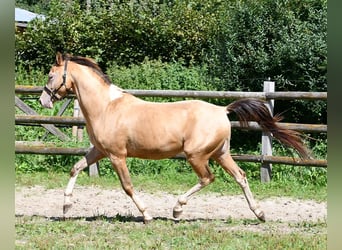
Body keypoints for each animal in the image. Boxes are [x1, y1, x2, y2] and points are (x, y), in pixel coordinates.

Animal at [39, 52, 310, 223]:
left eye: (51, 75)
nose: (43, 100)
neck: (107, 107)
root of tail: (222, 110)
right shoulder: (99, 151)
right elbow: (75, 168)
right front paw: (65, 208)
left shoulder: (117, 155)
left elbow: (127, 186)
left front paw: (147, 215)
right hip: (221, 154)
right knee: (240, 177)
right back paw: (259, 214)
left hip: (197, 155)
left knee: (208, 178)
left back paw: (177, 210)